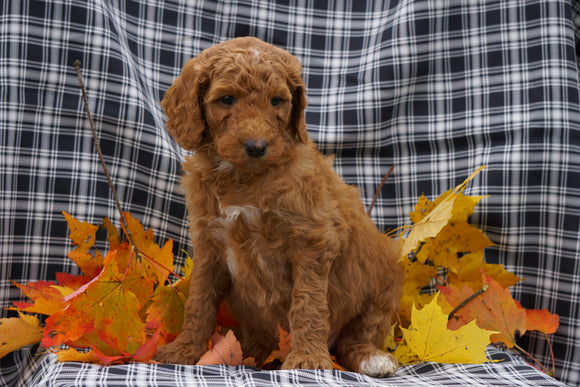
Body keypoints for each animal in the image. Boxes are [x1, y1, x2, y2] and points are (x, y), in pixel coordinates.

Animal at [153, 38, 404, 378]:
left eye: (276, 101)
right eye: (226, 99)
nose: (257, 146)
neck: (243, 176)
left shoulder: (311, 240)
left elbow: (308, 303)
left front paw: (308, 359)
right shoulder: (209, 244)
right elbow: (199, 301)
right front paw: (184, 351)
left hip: (383, 277)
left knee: (360, 332)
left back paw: (371, 358)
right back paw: (246, 352)